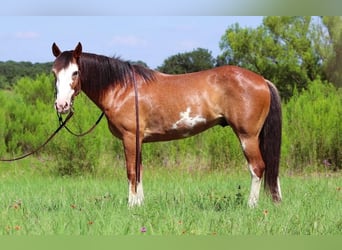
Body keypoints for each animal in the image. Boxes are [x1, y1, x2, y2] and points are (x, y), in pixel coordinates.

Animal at [50, 42, 282, 207]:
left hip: (247, 136)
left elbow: (131, 172)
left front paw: (131, 205)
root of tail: (262, 80)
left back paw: (251, 205)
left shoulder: (129, 137)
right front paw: (140, 204)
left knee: (257, 168)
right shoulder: (139, 140)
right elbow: (139, 171)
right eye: (54, 73)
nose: (61, 105)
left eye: (75, 72)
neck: (123, 88)